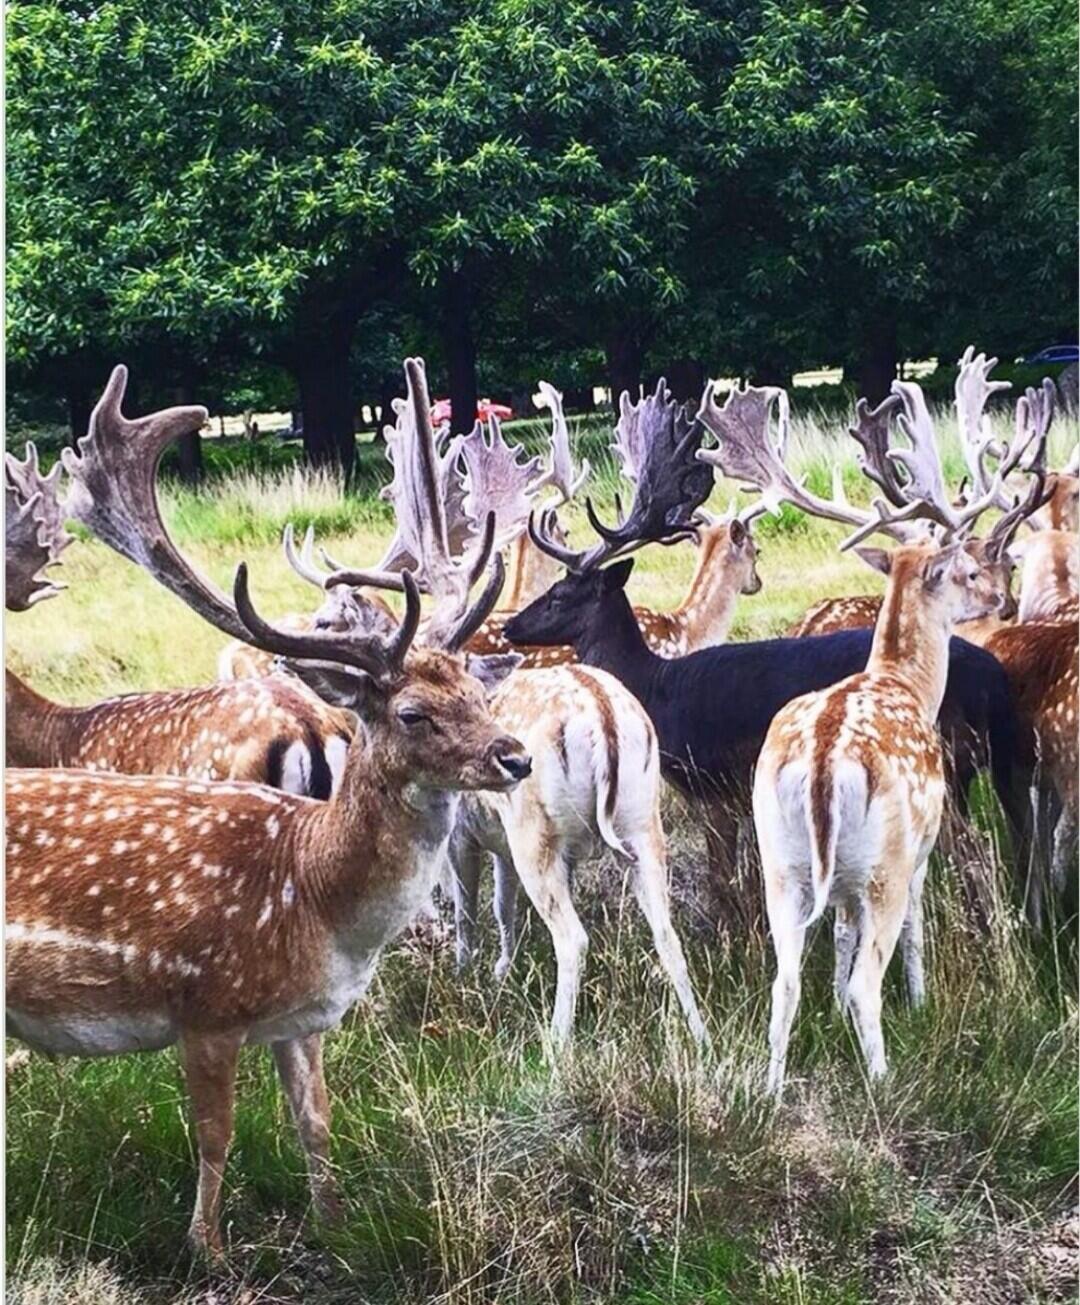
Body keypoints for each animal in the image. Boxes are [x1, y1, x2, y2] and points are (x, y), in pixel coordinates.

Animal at [7, 354, 532, 1252]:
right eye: (411, 712)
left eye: (476, 688)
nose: (516, 755)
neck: (314, 897)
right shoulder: (206, 1005)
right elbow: (215, 1137)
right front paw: (208, 1249)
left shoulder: (305, 1018)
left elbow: (316, 1119)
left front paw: (334, 1222)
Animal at [506, 378, 1027, 929]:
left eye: (561, 594)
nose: (513, 625)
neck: (656, 689)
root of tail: (993, 677)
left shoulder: (710, 782)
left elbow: (722, 881)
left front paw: (732, 939)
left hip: (932, 767)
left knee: (976, 853)